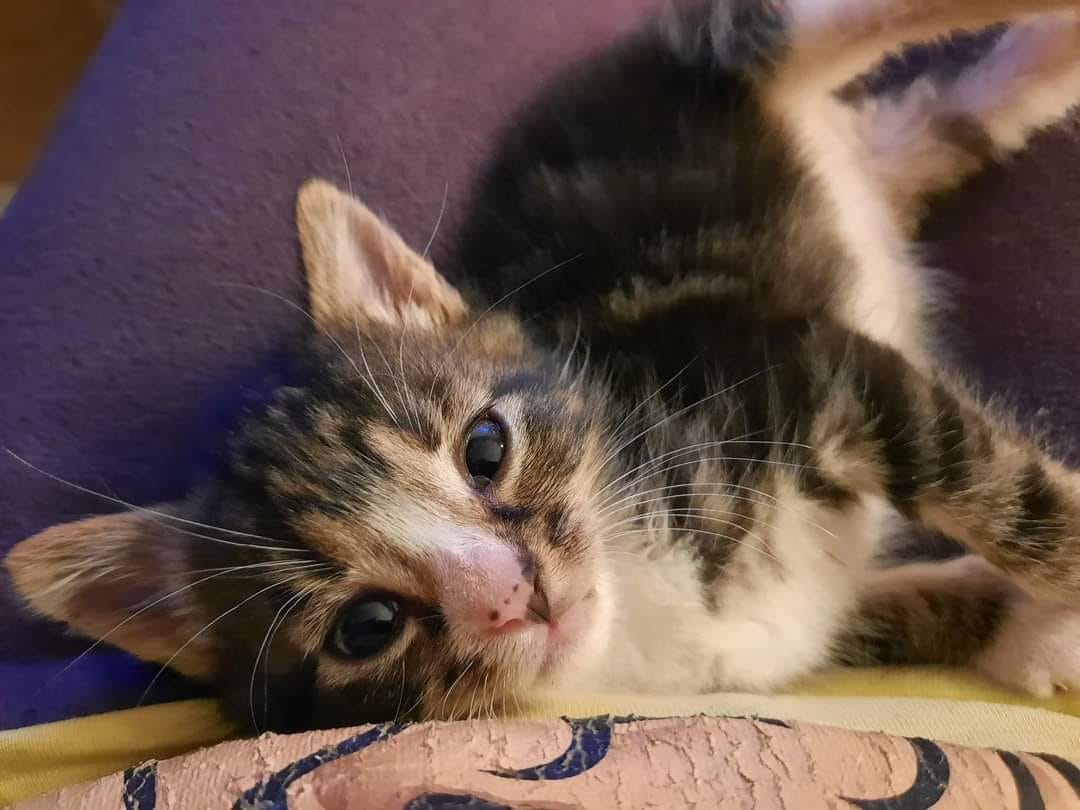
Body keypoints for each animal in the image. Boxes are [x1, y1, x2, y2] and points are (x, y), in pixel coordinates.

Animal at [9, 0, 1080, 734]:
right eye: (367, 626)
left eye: (486, 450)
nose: (512, 592)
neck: (641, 595)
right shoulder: (802, 615)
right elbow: (920, 599)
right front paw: (1030, 634)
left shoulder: (803, 366)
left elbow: (997, 488)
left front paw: (1057, 587)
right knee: (939, 117)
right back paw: (1038, 67)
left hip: (708, 69)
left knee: (781, 25)